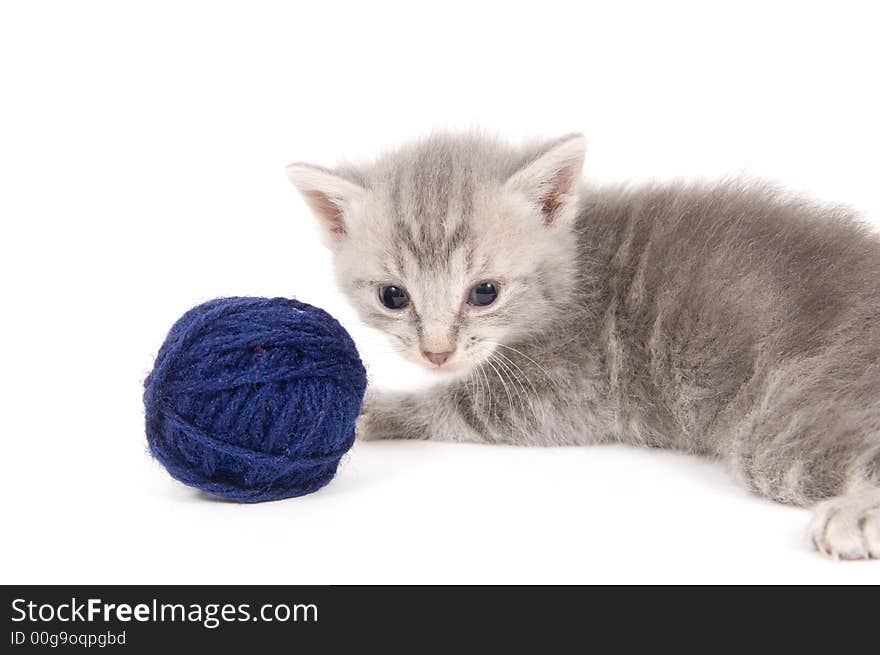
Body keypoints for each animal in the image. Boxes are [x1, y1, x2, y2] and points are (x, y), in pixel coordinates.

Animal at [288, 132, 880, 560]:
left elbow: (462, 404)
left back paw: (854, 517)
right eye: (393, 296)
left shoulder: (574, 385)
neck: (575, 269)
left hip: (787, 423)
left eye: (484, 292)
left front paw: (371, 408)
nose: (436, 353)